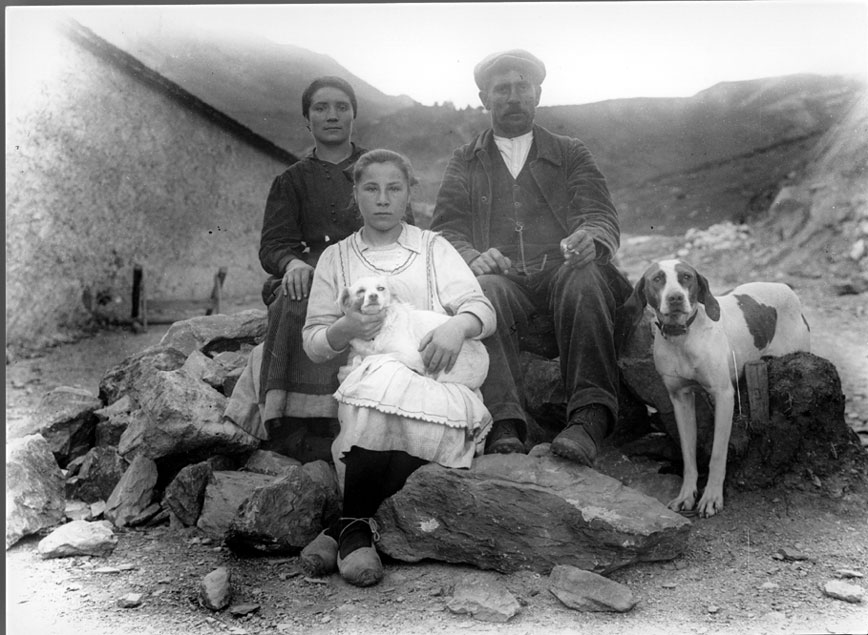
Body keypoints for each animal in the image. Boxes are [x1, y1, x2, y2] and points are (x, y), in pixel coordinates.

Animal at [338, 276, 488, 390]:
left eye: (381, 288)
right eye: (360, 291)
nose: (373, 296)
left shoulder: (411, 355)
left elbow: (373, 357)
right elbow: (354, 360)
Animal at [628, 260, 812, 520]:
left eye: (686, 277)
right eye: (657, 279)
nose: (675, 298)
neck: (683, 338)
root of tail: (784, 287)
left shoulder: (724, 396)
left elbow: (717, 454)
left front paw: (712, 498)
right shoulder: (680, 399)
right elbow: (688, 454)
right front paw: (686, 496)